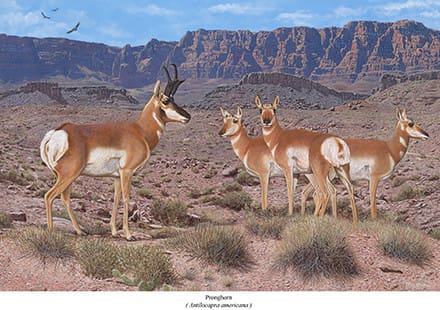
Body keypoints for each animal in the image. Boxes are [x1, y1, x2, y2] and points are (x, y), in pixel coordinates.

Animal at [40, 64, 191, 241]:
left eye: (174, 100)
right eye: (166, 100)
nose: (188, 116)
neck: (140, 131)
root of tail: (59, 132)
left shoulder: (117, 176)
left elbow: (116, 199)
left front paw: (114, 231)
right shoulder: (127, 172)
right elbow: (126, 198)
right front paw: (128, 234)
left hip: (66, 177)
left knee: (64, 198)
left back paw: (80, 231)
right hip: (68, 175)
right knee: (49, 196)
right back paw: (51, 231)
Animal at [256, 95, 356, 223]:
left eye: (274, 109)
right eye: (260, 110)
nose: (266, 121)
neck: (279, 138)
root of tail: (336, 141)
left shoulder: (287, 169)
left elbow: (289, 191)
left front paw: (290, 214)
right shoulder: (296, 174)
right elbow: (293, 192)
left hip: (319, 172)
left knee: (324, 193)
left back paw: (319, 217)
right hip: (338, 172)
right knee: (346, 189)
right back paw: (353, 222)